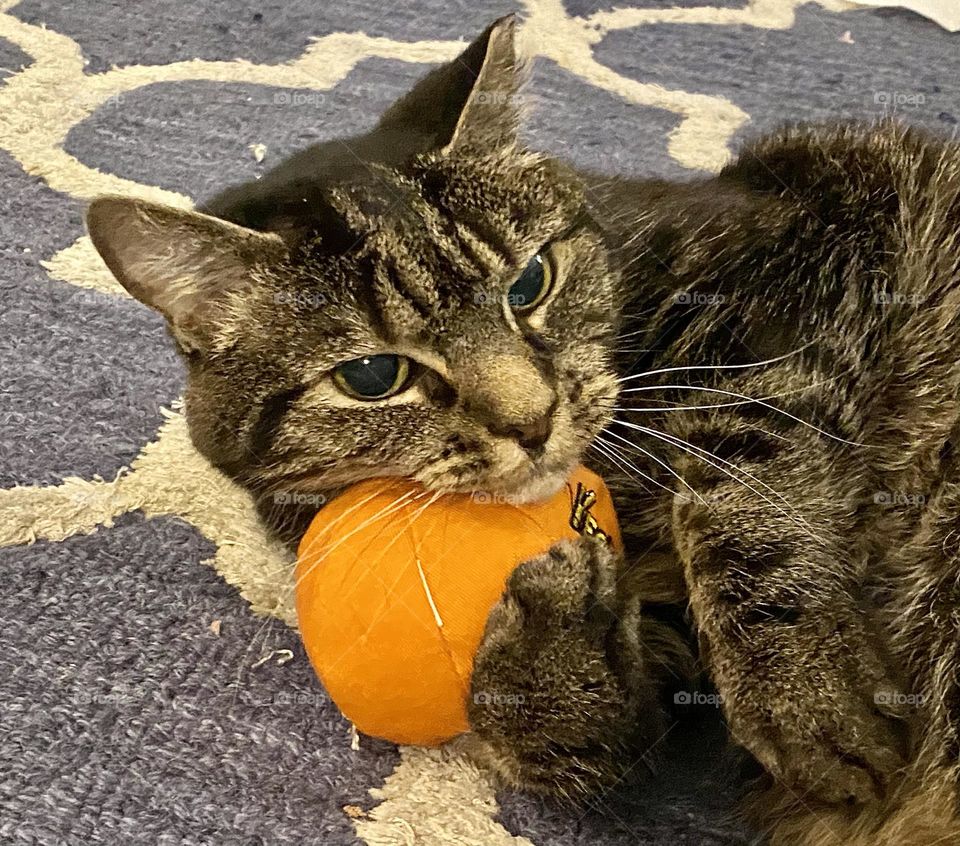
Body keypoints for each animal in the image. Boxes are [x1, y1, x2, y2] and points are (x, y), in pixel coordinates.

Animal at [86, 14, 960, 846]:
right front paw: (554, 645)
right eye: (372, 378)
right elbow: (571, 737)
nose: (533, 419)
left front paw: (803, 691)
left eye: (531, 280)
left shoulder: (821, 239)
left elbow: (737, 480)